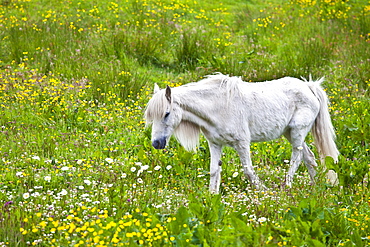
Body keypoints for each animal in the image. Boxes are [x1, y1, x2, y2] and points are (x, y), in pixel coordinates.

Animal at [144, 73, 338, 193]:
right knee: (309, 157)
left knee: (296, 159)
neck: (217, 106)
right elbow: (214, 171)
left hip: (297, 132)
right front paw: (211, 196)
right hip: (289, 133)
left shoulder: (242, 143)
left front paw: (263, 191)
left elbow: (248, 171)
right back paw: (316, 188)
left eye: (166, 113)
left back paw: (287, 187)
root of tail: (309, 86)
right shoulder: (215, 144)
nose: (156, 143)